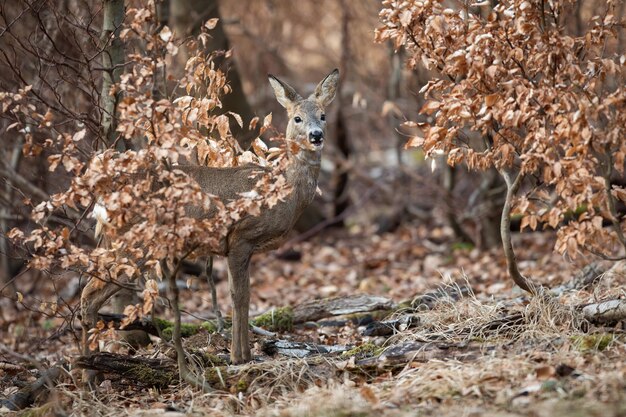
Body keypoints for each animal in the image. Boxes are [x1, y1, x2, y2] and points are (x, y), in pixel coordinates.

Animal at [81, 68, 342, 364]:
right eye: (297, 118)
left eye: (323, 115)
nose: (316, 135)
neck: (283, 190)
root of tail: (103, 199)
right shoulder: (241, 237)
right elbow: (239, 296)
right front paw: (239, 356)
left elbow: (243, 295)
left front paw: (243, 353)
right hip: (137, 241)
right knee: (88, 293)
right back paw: (88, 364)